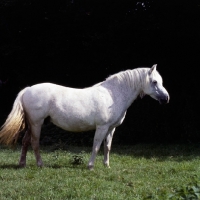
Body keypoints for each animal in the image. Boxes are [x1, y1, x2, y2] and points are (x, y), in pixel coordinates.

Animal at [0, 65, 169, 170]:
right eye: (154, 82)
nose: (166, 98)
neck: (112, 94)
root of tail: (28, 89)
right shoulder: (102, 127)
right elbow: (96, 146)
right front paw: (91, 166)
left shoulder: (111, 128)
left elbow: (107, 147)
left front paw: (107, 165)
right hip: (37, 123)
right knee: (34, 143)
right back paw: (40, 164)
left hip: (30, 124)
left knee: (25, 142)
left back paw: (22, 164)